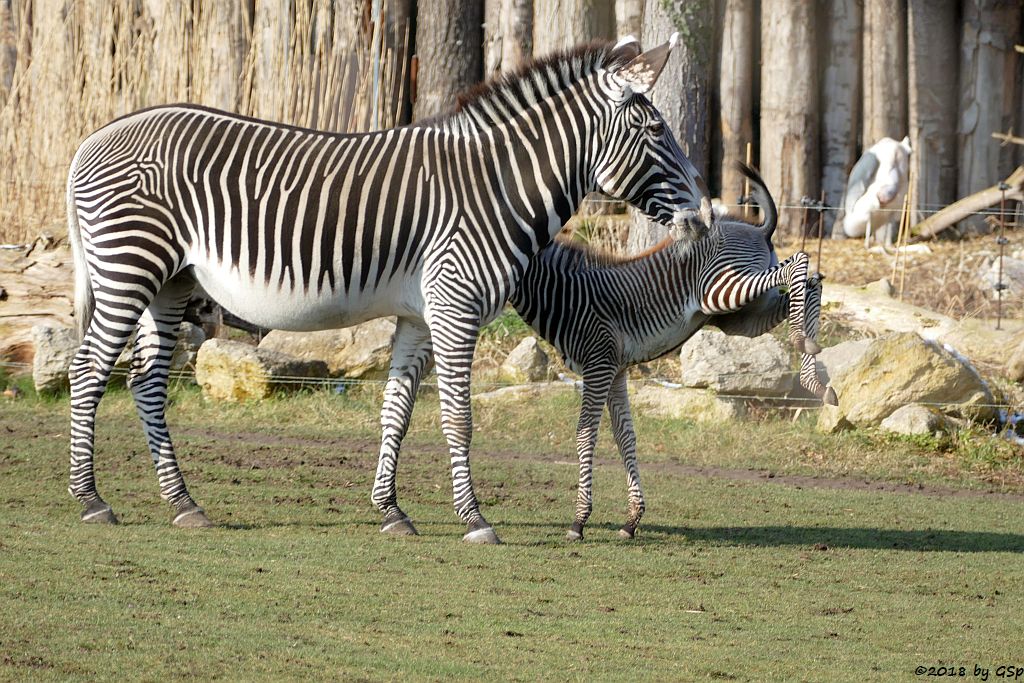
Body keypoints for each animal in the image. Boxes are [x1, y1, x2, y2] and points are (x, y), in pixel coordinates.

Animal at [64, 36, 708, 544]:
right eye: (656, 130)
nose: (702, 218)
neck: (494, 187)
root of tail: (95, 136)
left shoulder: (421, 314)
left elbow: (395, 410)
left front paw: (391, 511)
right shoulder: (455, 304)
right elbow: (458, 417)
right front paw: (475, 520)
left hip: (171, 281)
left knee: (146, 381)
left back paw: (183, 503)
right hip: (129, 266)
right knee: (88, 369)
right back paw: (92, 501)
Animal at [512, 165, 839, 540]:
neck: (567, 298)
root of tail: (755, 227)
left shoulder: (598, 365)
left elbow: (585, 434)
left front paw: (579, 521)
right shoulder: (616, 370)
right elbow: (625, 437)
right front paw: (632, 519)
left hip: (723, 290)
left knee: (800, 263)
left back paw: (802, 343)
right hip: (743, 315)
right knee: (811, 283)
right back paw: (814, 375)